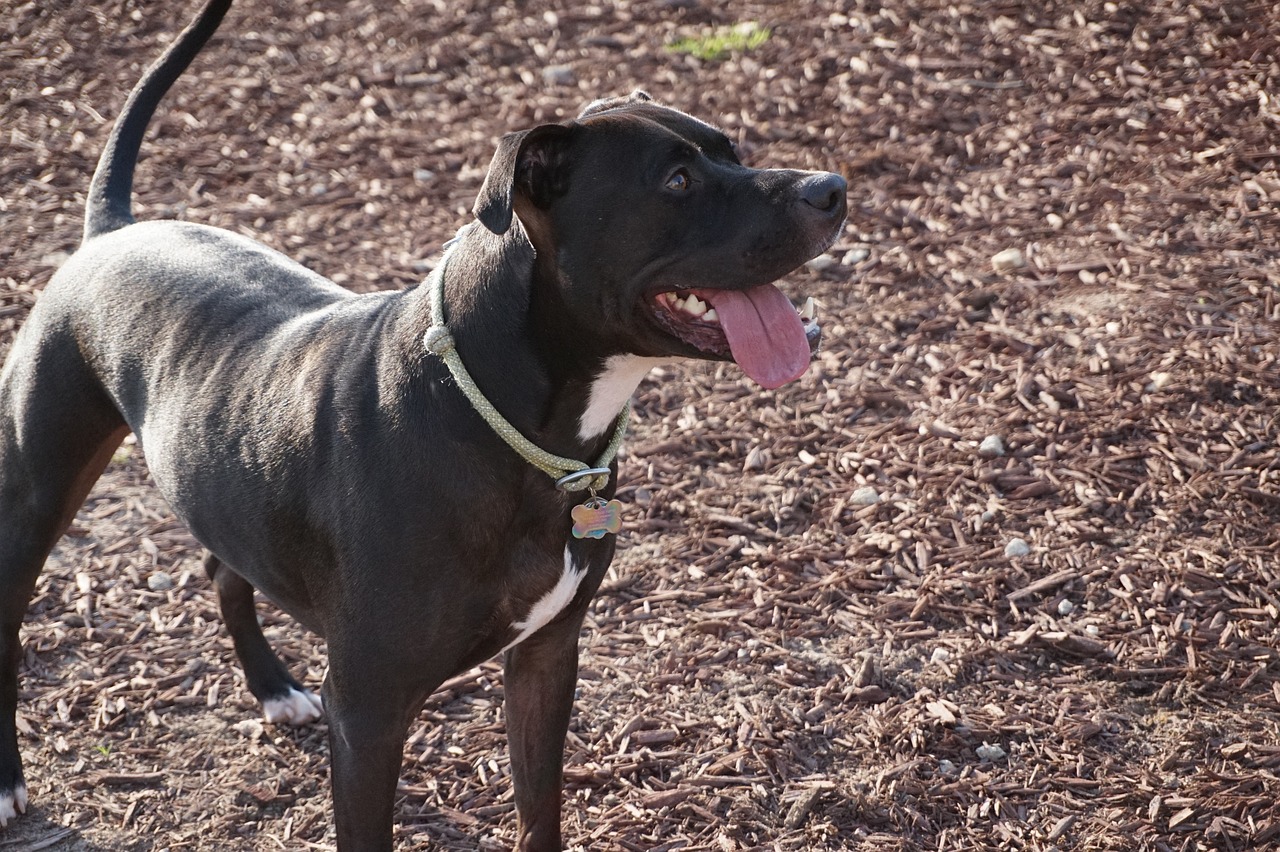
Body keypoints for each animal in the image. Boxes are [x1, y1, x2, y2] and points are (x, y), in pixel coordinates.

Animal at [0, 1, 849, 844]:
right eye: (676, 180)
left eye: (732, 151)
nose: (831, 187)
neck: (513, 427)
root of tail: (113, 230)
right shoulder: (369, 715)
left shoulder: (547, 657)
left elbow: (539, 806)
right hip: (35, 495)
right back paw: (9, 781)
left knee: (223, 566)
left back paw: (273, 687)